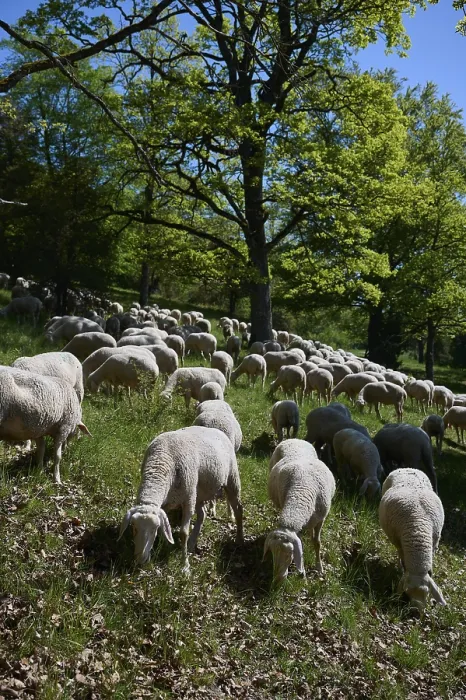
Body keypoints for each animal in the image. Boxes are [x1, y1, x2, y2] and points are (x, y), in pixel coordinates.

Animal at [119, 426, 243, 572]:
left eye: (153, 529)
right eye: (134, 528)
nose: (140, 560)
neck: (160, 462)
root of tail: (215, 429)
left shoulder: (188, 500)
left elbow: (183, 533)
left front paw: (185, 566)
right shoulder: (167, 503)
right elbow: (166, 527)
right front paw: (166, 546)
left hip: (231, 479)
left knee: (238, 509)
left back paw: (240, 538)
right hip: (198, 492)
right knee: (202, 514)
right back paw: (192, 543)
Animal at [265, 439, 335, 582]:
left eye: (289, 555)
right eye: (272, 552)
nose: (278, 580)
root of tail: (295, 439)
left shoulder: (321, 519)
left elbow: (317, 543)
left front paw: (319, 567)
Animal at [379, 468, 446, 612]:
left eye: (427, 593)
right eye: (406, 593)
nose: (415, 612)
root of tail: (407, 468)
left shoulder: (434, 544)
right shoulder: (400, 544)